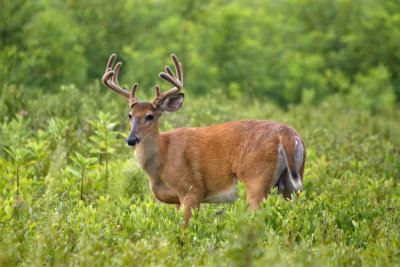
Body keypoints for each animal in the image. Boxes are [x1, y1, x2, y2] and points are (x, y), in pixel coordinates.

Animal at [101, 54, 304, 226]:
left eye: (150, 116)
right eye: (130, 115)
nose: (131, 139)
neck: (162, 158)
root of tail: (287, 133)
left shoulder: (191, 188)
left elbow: (186, 227)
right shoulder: (176, 198)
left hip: (256, 179)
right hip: (293, 181)